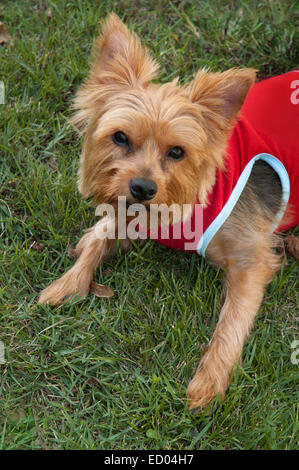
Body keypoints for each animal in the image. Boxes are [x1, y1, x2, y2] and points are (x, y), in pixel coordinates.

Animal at [39, 11, 299, 408]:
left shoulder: (251, 260)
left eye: (177, 151)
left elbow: (231, 322)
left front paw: (208, 383)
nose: (143, 188)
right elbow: (101, 235)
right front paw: (68, 283)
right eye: (119, 137)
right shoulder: (133, 213)